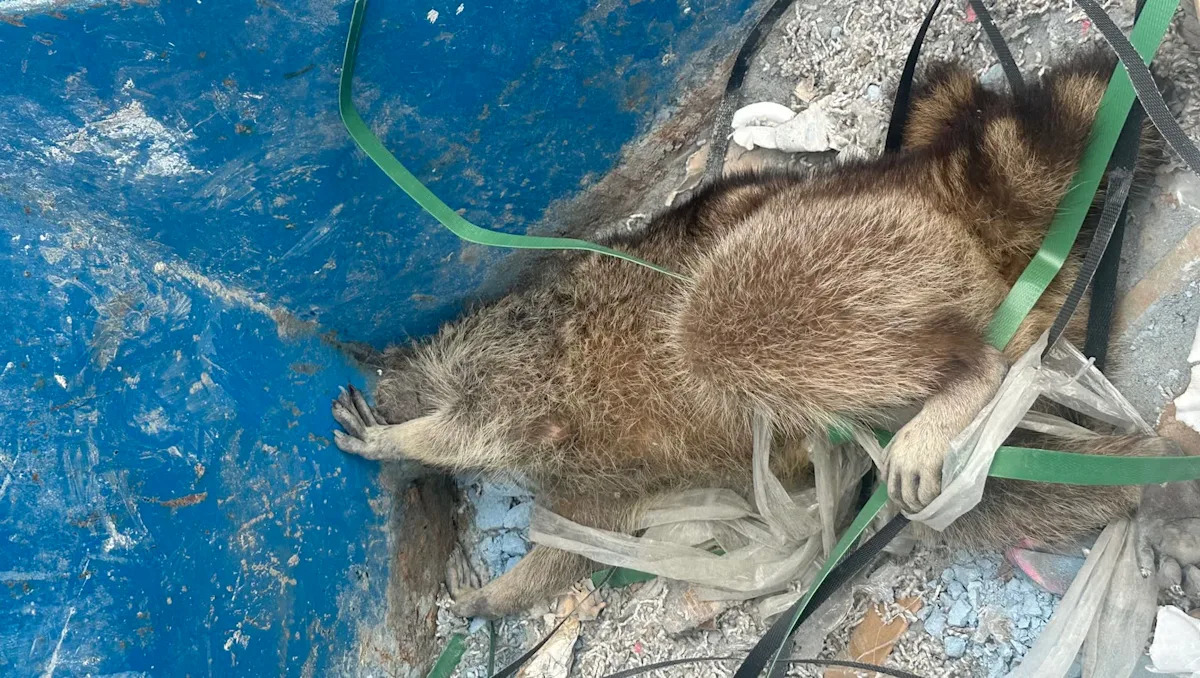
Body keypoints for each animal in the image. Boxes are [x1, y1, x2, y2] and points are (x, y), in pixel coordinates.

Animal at [331, 52, 1181, 619]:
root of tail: (931, 191)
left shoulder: (520, 363)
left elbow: (482, 424)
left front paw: (402, 439)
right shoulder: (598, 481)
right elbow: (575, 542)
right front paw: (502, 592)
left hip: (811, 252)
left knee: (718, 323)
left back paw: (960, 379)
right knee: (1018, 483)